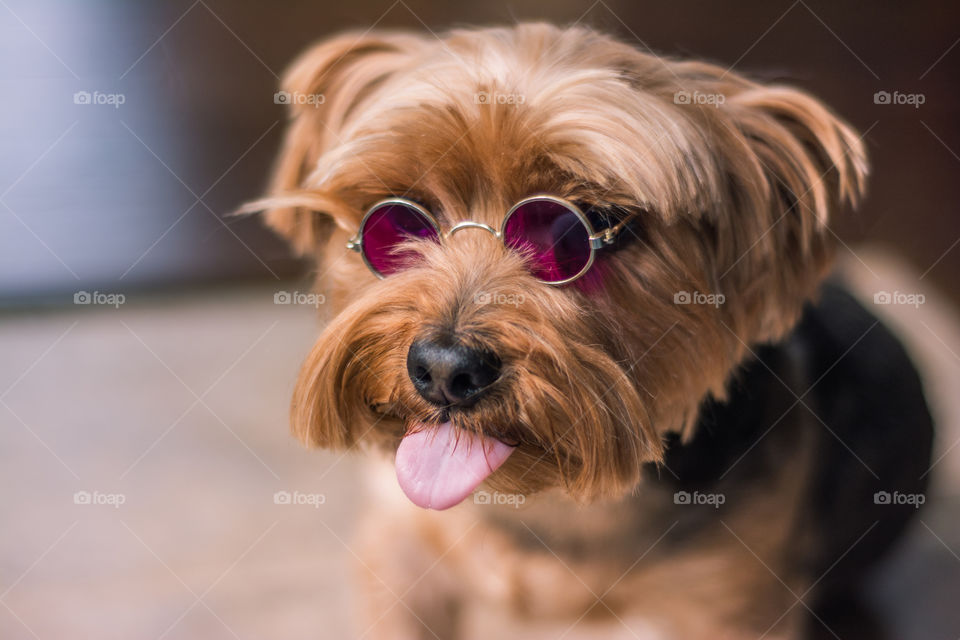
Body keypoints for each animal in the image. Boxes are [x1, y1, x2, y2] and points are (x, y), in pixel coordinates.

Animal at [249, 22, 936, 636]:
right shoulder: (398, 545)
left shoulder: (730, 600)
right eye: (391, 221)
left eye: (585, 228)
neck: (545, 505)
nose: (444, 368)